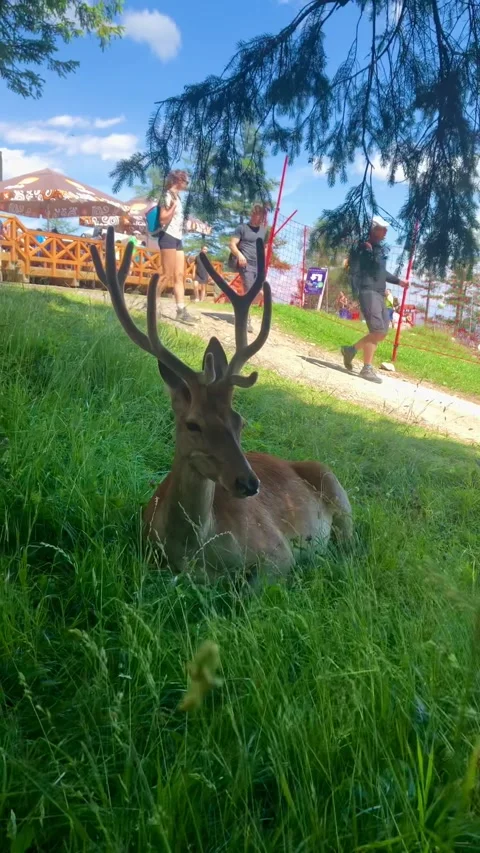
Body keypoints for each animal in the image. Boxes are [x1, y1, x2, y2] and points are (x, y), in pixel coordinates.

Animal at [90, 227, 352, 585]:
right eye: (193, 424)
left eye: (239, 421)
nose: (249, 483)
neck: (191, 552)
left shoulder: (278, 551)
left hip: (337, 490)